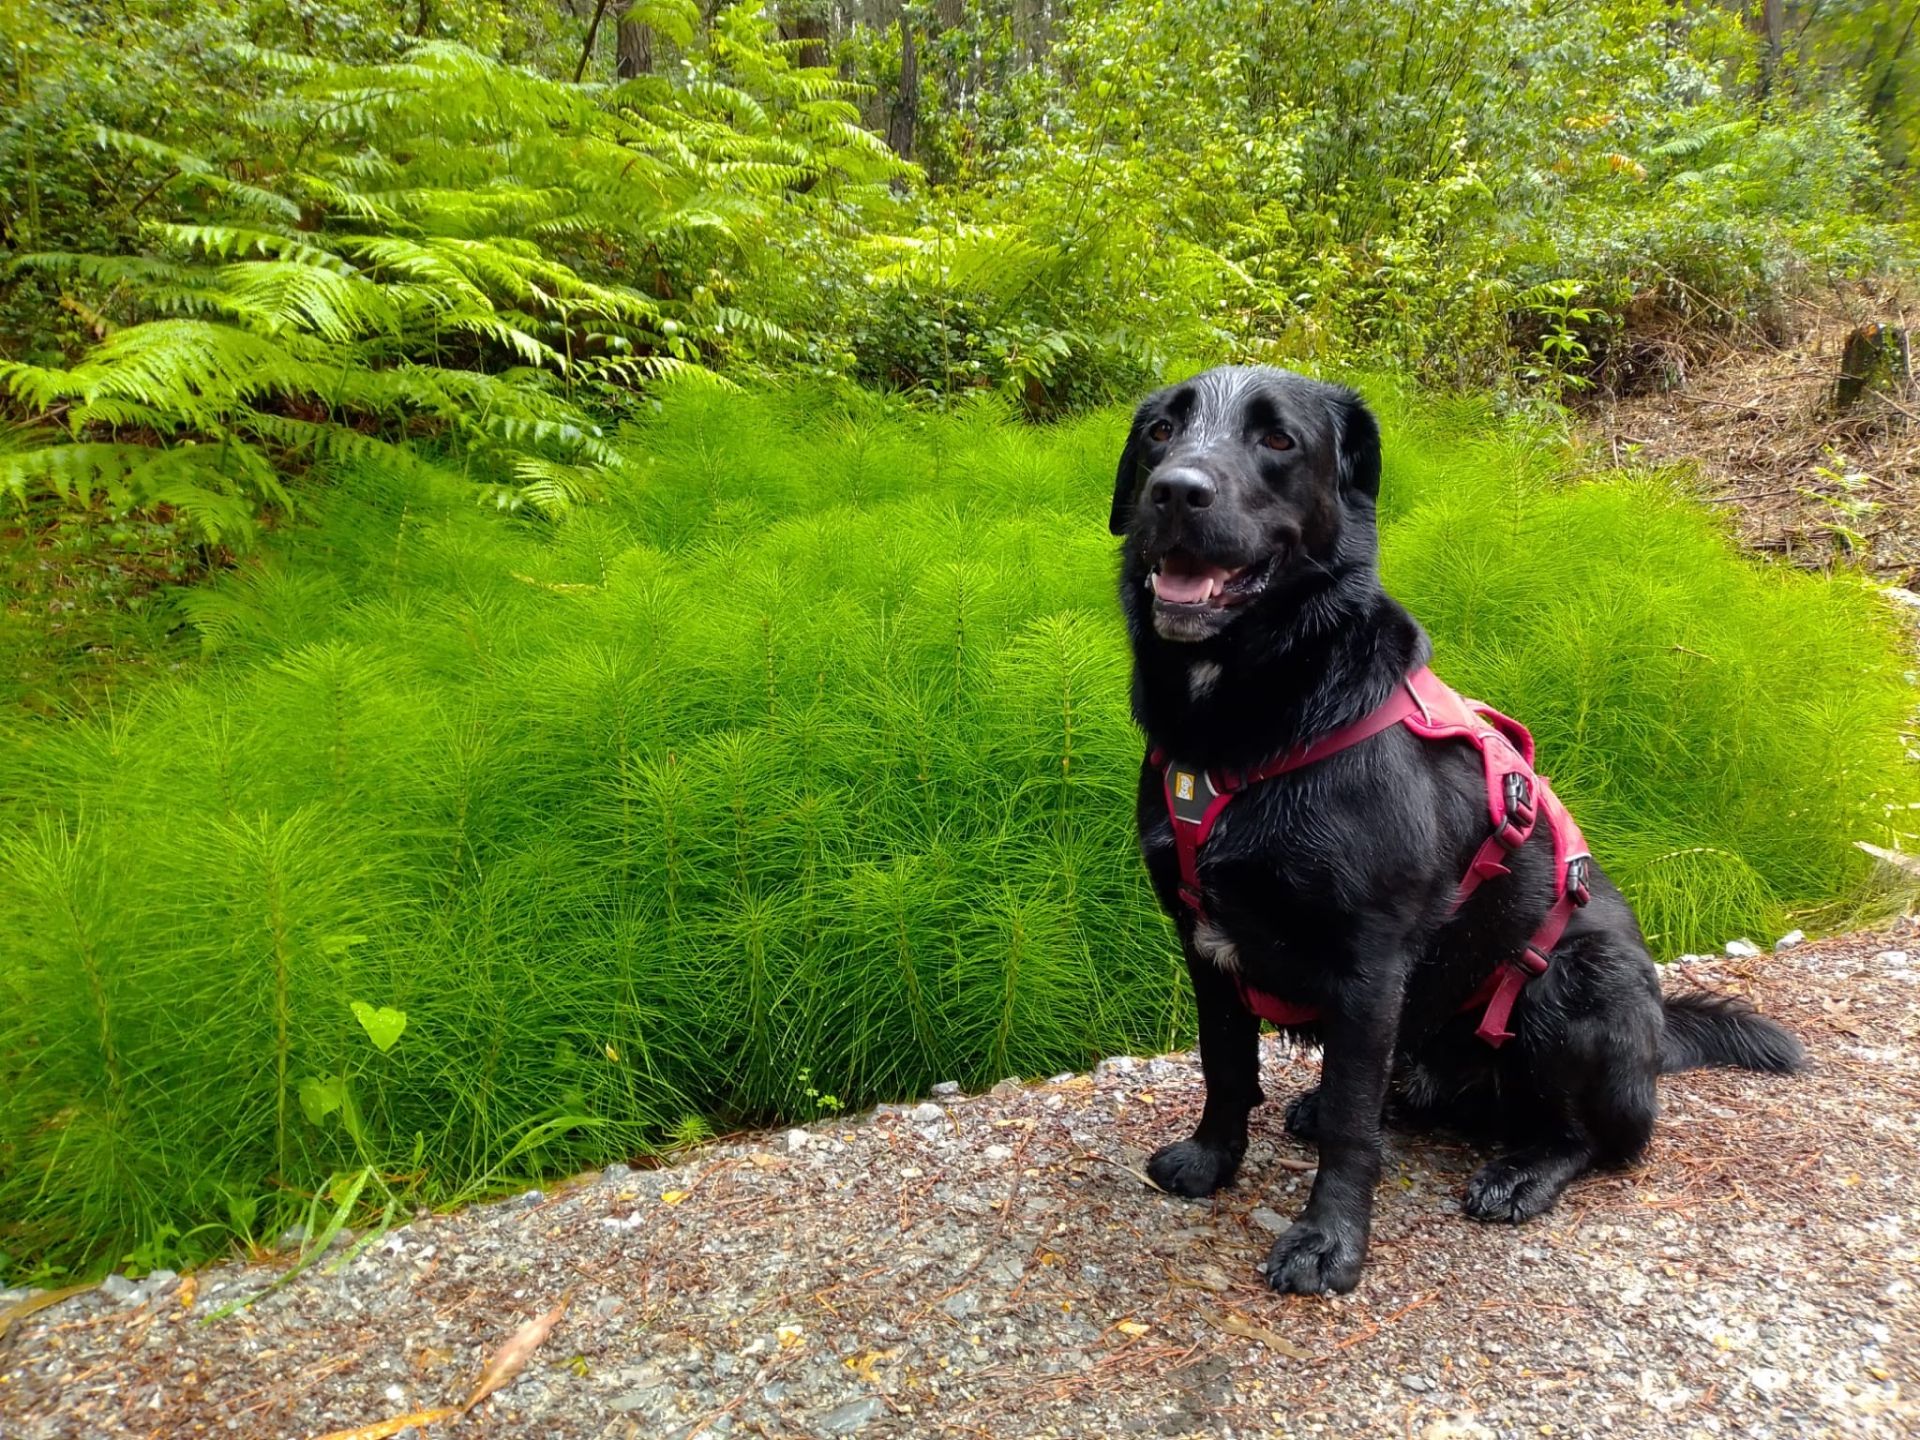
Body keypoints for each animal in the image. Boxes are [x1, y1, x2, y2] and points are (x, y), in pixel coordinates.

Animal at [1113, 366, 1797, 1305]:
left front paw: (1329, 1244)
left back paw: (1522, 1174)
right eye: (1161, 431)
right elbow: (1226, 1068)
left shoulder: (1370, 965)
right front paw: (1213, 1162)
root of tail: (1659, 1045)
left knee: (1600, 1139)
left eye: (1279, 440)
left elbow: (1353, 1130)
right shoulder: (1203, 941)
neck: (1252, 728)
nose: (1176, 490)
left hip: (1573, 983)